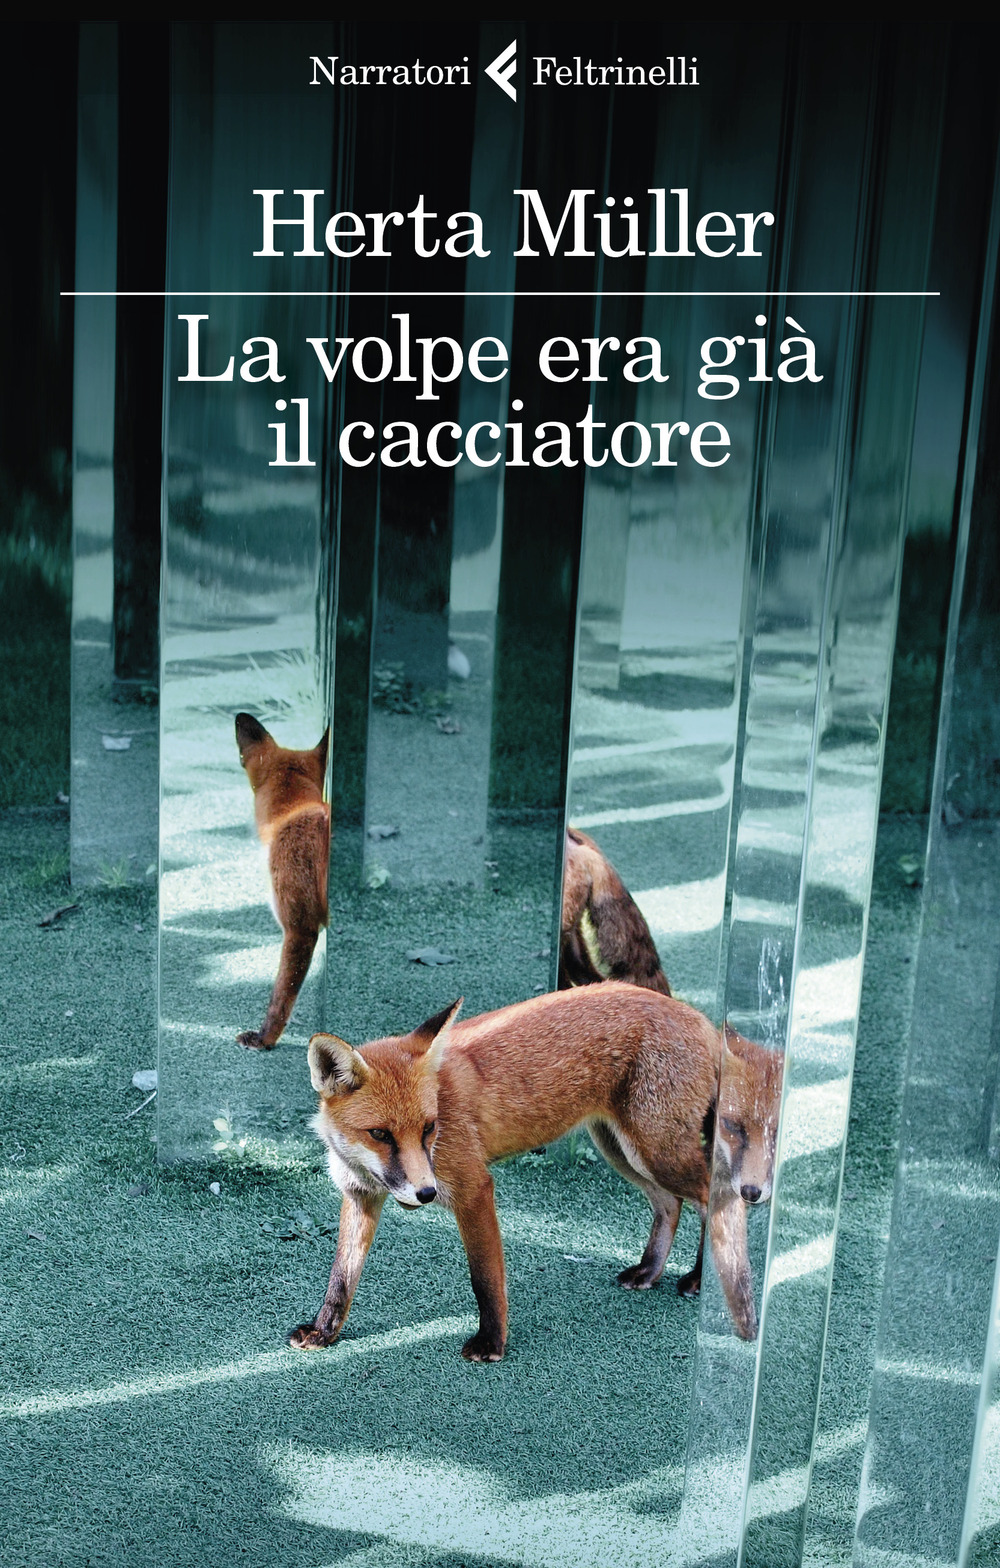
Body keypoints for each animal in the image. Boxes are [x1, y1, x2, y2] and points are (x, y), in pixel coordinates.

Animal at [289, 983, 782, 1360]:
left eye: (429, 1127)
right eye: (380, 1134)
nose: (426, 1194)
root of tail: (700, 1018)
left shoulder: (473, 1187)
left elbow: (485, 1279)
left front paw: (492, 1343)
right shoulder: (360, 1195)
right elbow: (341, 1276)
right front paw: (324, 1331)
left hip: (657, 1151)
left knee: (717, 1198)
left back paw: (701, 1278)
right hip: (621, 1149)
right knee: (670, 1204)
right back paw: (649, 1270)